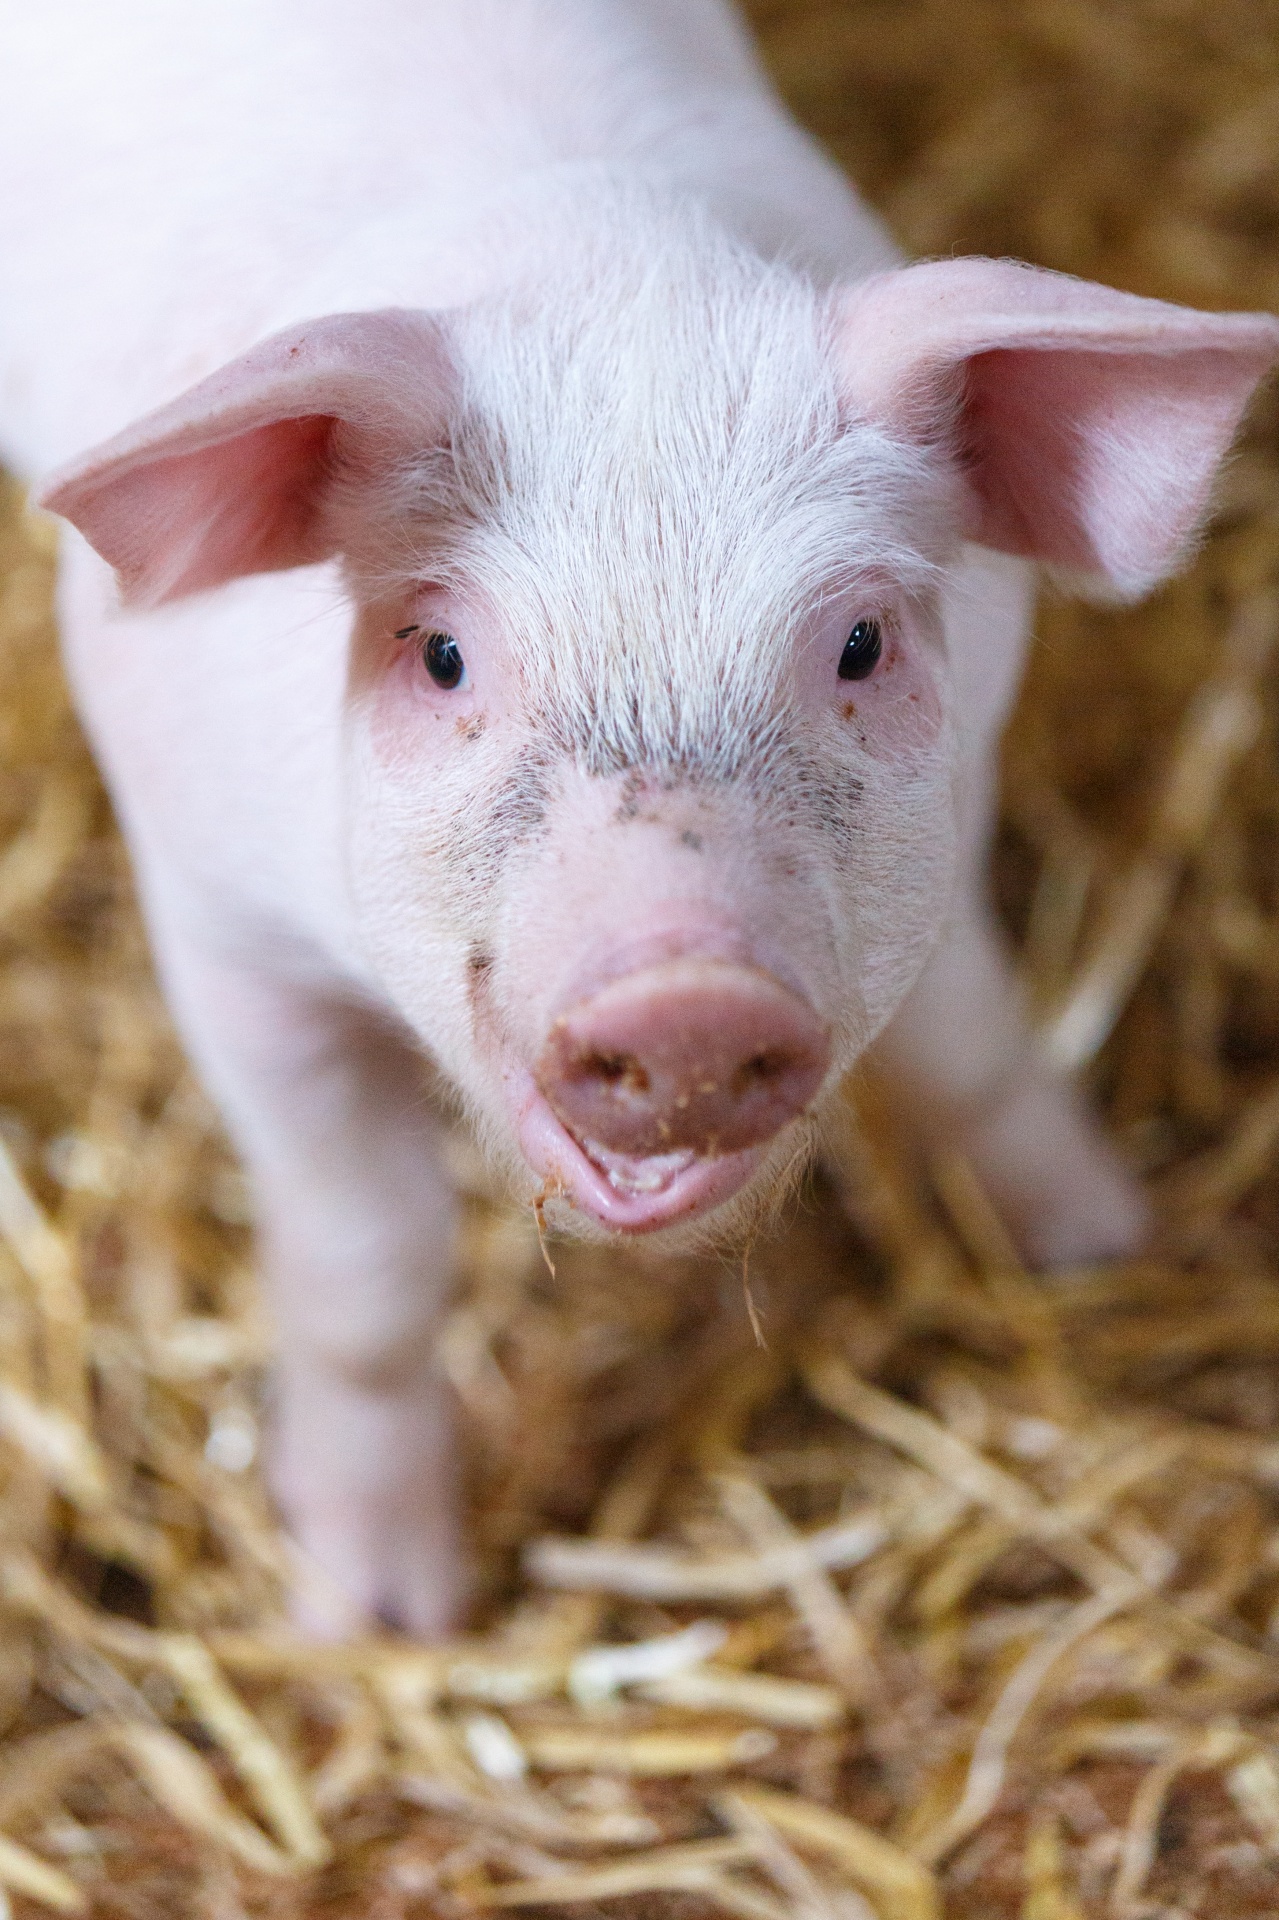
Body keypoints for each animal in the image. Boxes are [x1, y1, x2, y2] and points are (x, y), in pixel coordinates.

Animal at [2, 0, 1275, 1635]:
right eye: (440, 654)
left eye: (860, 643)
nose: (684, 995)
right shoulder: (218, 931)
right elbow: (370, 1265)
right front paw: (378, 1623)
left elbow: (968, 1049)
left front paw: (1094, 1244)